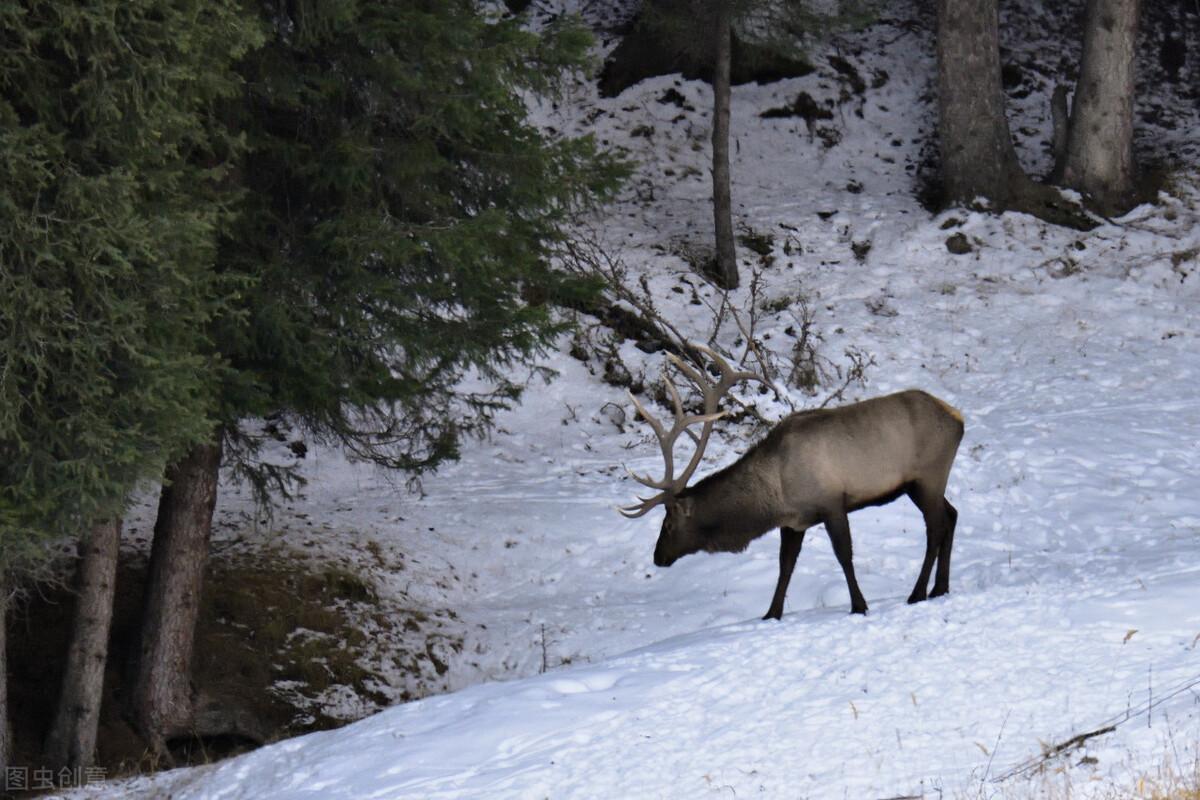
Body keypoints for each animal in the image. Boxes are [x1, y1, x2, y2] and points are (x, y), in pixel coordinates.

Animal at [624, 345, 960, 618]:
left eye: (668, 524)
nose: (658, 557)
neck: (774, 495)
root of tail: (958, 417)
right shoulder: (793, 523)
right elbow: (785, 566)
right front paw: (771, 613)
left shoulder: (832, 504)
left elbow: (844, 555)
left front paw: (859, 605)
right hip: (920, 485)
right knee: (952, 514)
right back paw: (940, 587)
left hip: (929, 475)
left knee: (936, 526)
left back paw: (918, 593)